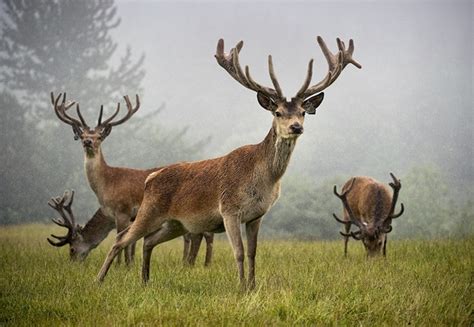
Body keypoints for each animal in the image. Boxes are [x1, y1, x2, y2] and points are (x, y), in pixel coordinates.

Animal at [49, 93, 212, 268]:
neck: (107, 185)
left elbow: (120, 238)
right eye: (82, 136)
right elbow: (132, 242)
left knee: (198, 234)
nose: (88, 142)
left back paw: (193, 264)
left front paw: (120, 266)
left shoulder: (123, 210)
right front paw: (130, 264)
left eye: (99, 136)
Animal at [96, 34, 362, 288]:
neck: (264, 179)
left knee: (148, 241)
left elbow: (253, 253)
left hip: (177, 223)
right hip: (149, 210)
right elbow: (240, 252)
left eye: (303, 112)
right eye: (277, 113)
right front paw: (241, 288)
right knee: (120, 239)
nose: (296, 127)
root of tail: (151, 178)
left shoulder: (257, 215)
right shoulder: (229, 209)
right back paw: (99, 280)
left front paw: (252, 286)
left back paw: (145, 280)